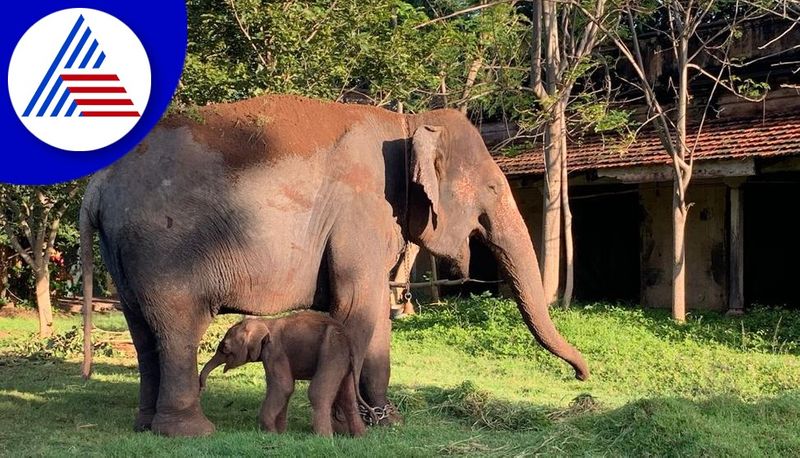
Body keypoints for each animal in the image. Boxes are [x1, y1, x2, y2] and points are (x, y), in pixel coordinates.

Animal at [200, 312, 366, 436]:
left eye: (225, 348)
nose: (202, 388)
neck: (264, 322)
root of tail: (348, 338)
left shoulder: (274, 351)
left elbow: (283, 387)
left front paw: (270, 433)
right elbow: (284, 390)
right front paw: (280, 433)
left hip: (332, 349)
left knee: (317, 393)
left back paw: (323, 438)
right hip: (344, 360)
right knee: (347, 397)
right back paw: (360, 437)